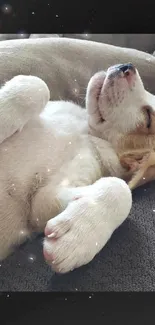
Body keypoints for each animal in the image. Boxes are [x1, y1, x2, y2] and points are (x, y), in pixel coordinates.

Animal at [0, 62, 154, 272]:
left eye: (148, 118)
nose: (127, 66)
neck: (85, 130)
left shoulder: (41, 204)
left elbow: (121, 188)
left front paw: (78, 236)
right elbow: (37, 84)